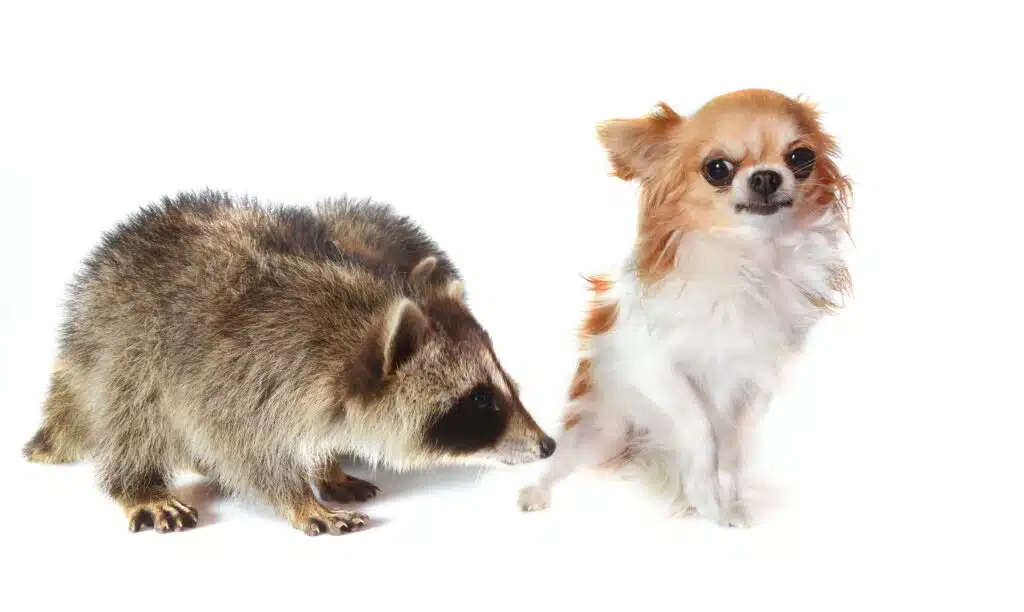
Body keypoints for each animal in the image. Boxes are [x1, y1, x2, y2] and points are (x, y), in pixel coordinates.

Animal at [23, 190, 555, 536]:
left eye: (507, 385)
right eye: (479, 400)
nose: (548, 445)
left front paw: (324, 465)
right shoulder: (238, 373)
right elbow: (240, 447)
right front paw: (297, 497)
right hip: (125, 346)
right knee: (133, 417)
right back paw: (139, 483)